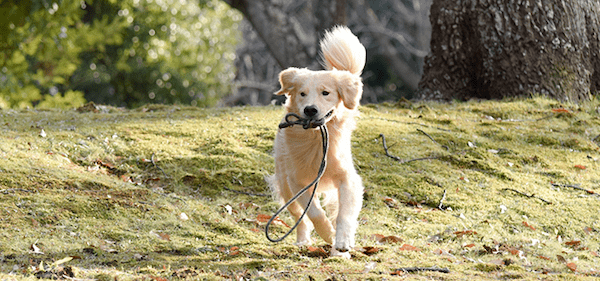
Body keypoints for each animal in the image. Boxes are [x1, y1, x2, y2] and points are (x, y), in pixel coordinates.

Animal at [268, 25, 366, 256]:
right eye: (302, 94)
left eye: (325, 93)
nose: (310, 110)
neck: (315, 139)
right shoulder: (297, 183)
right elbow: (313, 212)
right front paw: (328, 233)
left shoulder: (347, 178)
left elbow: (344, 214)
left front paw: (342, 243)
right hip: (285, 187)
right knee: (300, 218)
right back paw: (303, 241)